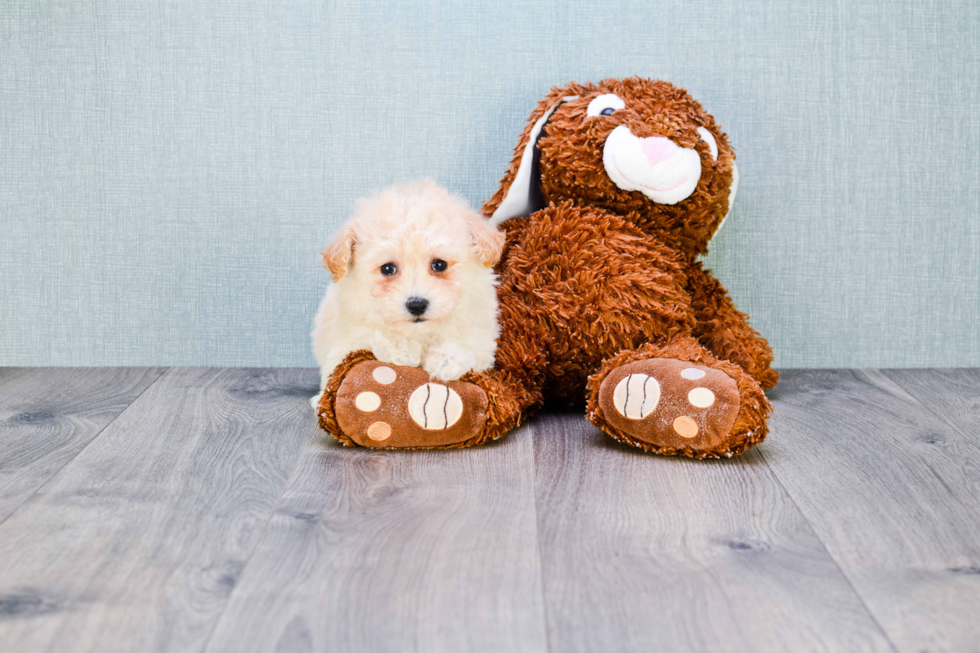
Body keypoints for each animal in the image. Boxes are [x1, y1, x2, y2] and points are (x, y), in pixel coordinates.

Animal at [310, 178, 506, 408]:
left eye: (439, 264)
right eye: (387, 269)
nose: (417, 304)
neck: (419, 334)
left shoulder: (481, 333)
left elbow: (469, 344)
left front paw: (446, 360)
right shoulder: (346, 336)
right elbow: (367, 335)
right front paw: (400, 348)